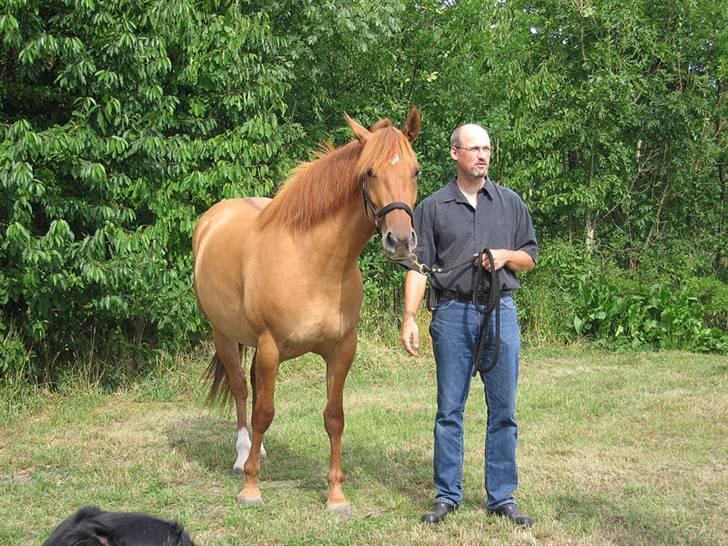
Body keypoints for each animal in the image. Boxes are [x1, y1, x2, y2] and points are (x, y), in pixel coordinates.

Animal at [192, 108, 420, 512]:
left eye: (416, 171)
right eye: (369, 172)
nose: (401, 241)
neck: (314, 262)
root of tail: (213, 219)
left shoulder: (342, 351)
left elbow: (334, 417)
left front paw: (336, 495)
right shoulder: (270, 347)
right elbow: (263, 412)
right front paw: (251, 488)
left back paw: (258, 451)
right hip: (225, 335)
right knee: (241, 390)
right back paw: (242, 456)